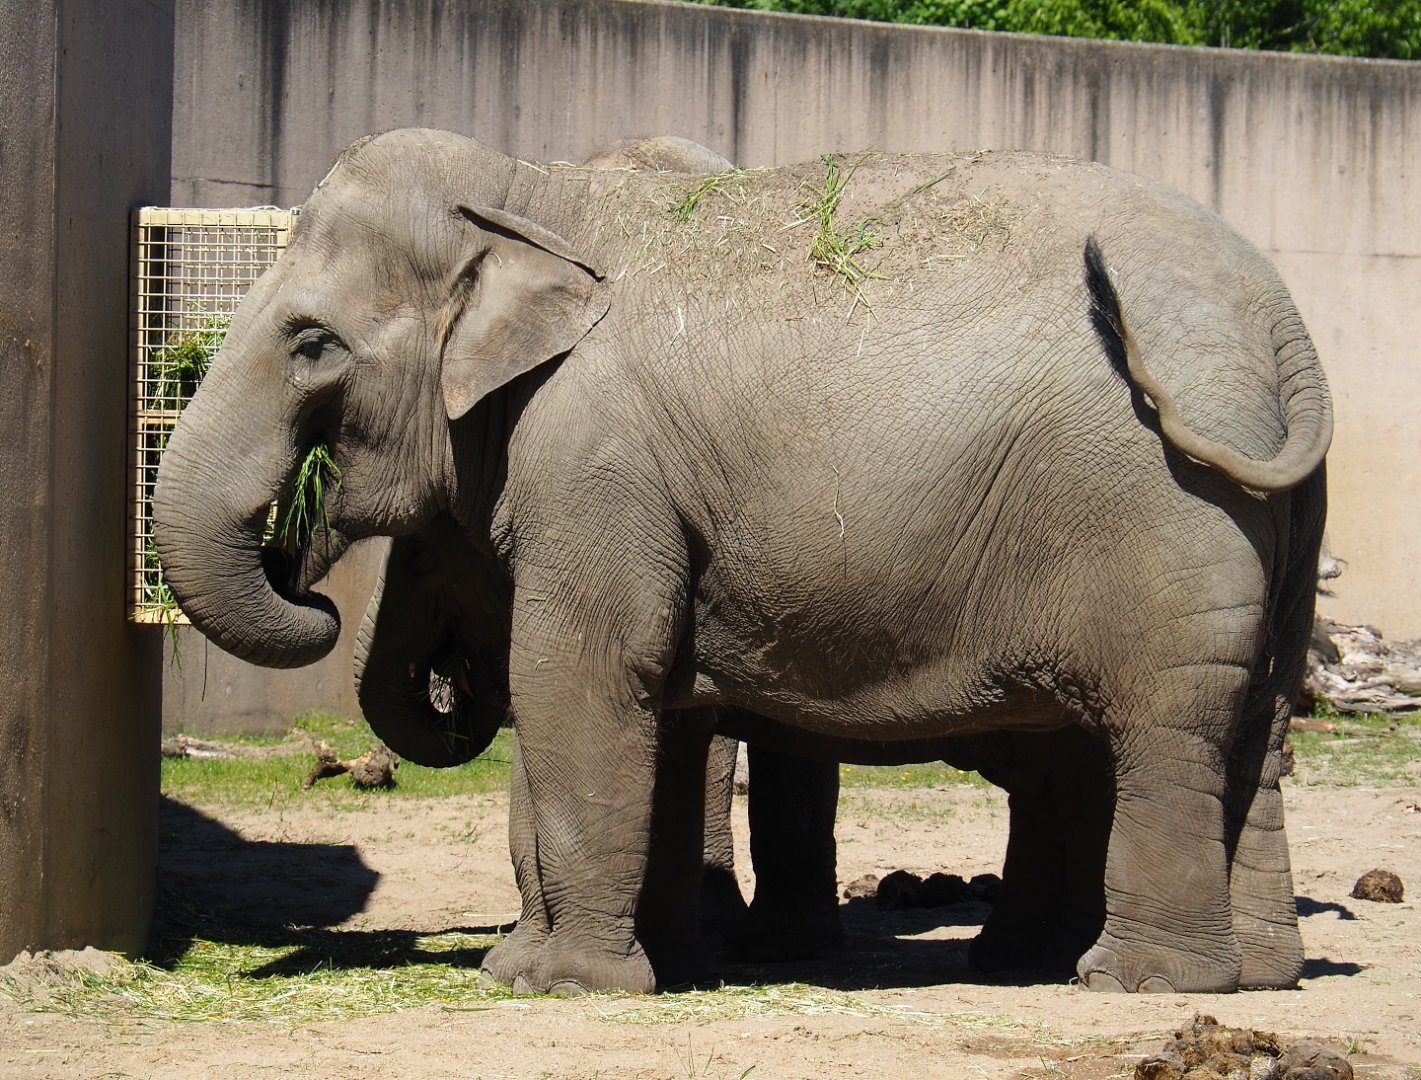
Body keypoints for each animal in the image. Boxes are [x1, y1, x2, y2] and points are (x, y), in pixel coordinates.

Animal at [153, 128, 1330, 995]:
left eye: (311, 344)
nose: (302, 575)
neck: (537, 191)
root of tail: (1281, 321)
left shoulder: (596, 458)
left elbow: (578, 675)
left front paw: (554, 983)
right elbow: (659, 702)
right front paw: (636, 966)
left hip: (1167, 519)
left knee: (1160, 729)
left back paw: (1132, 982)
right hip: (1275, 524)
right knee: (1251, 729)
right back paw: (1245, 975)